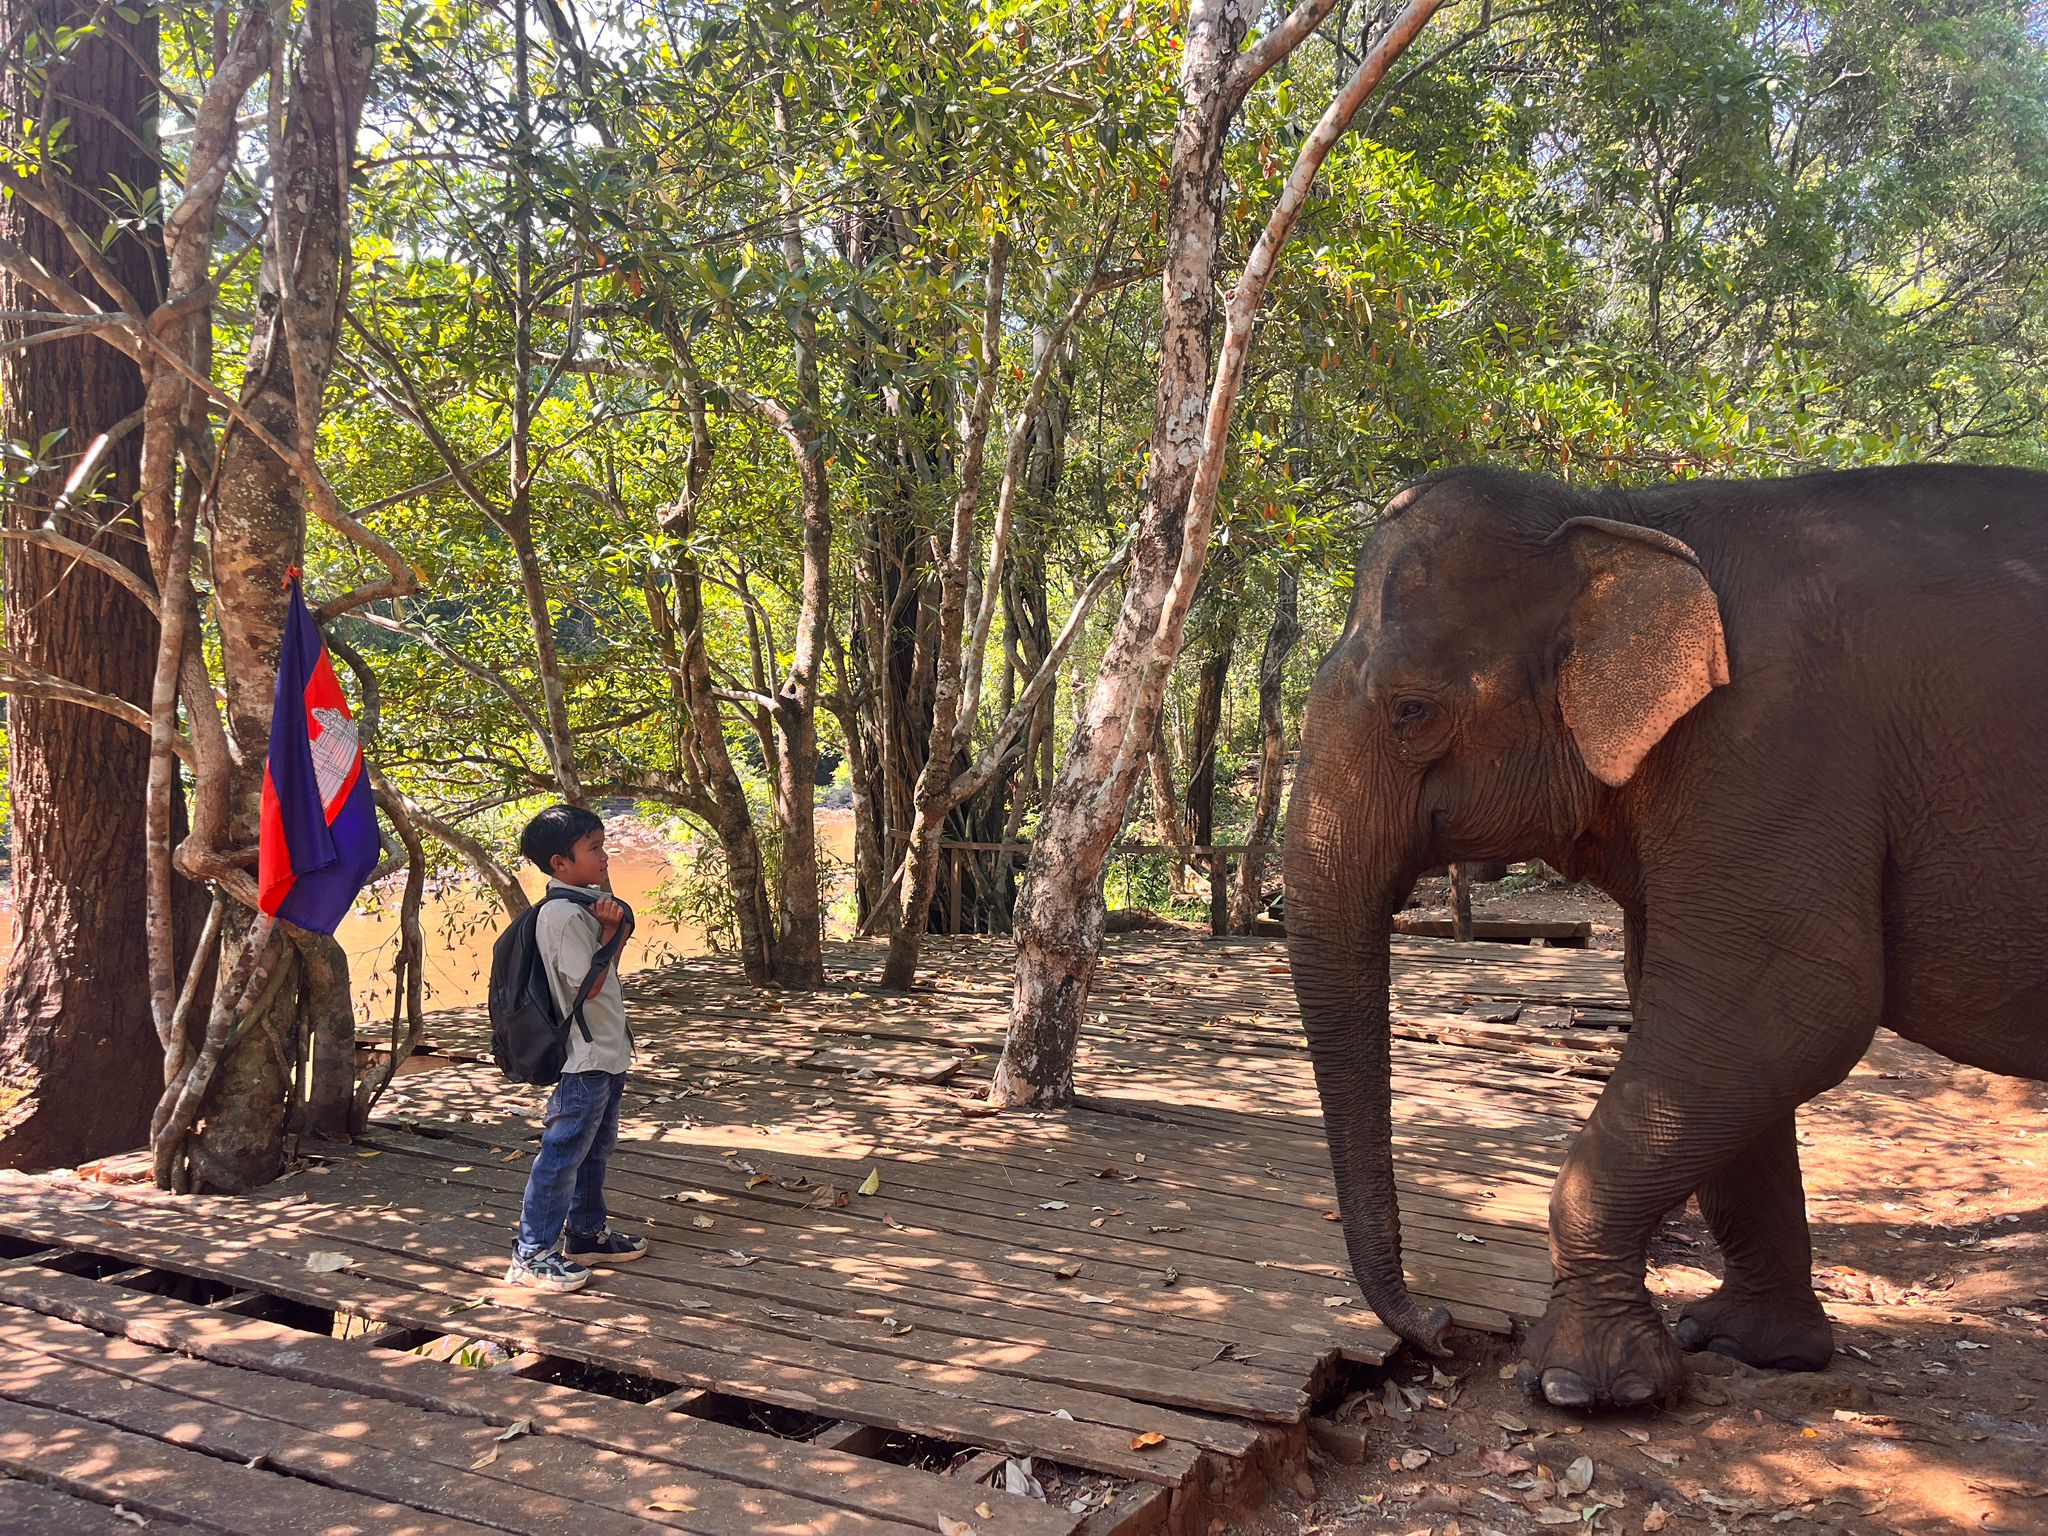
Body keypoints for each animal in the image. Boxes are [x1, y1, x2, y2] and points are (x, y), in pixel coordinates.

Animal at [1282, 463, 2048, 1410]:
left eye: (1412, 709)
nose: (1437, 1327)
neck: (1629, 519)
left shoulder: (1772, 746)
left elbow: (1786, 1006)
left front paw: (1581, 1387)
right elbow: (1705, 1024)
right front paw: (1741, 1344)